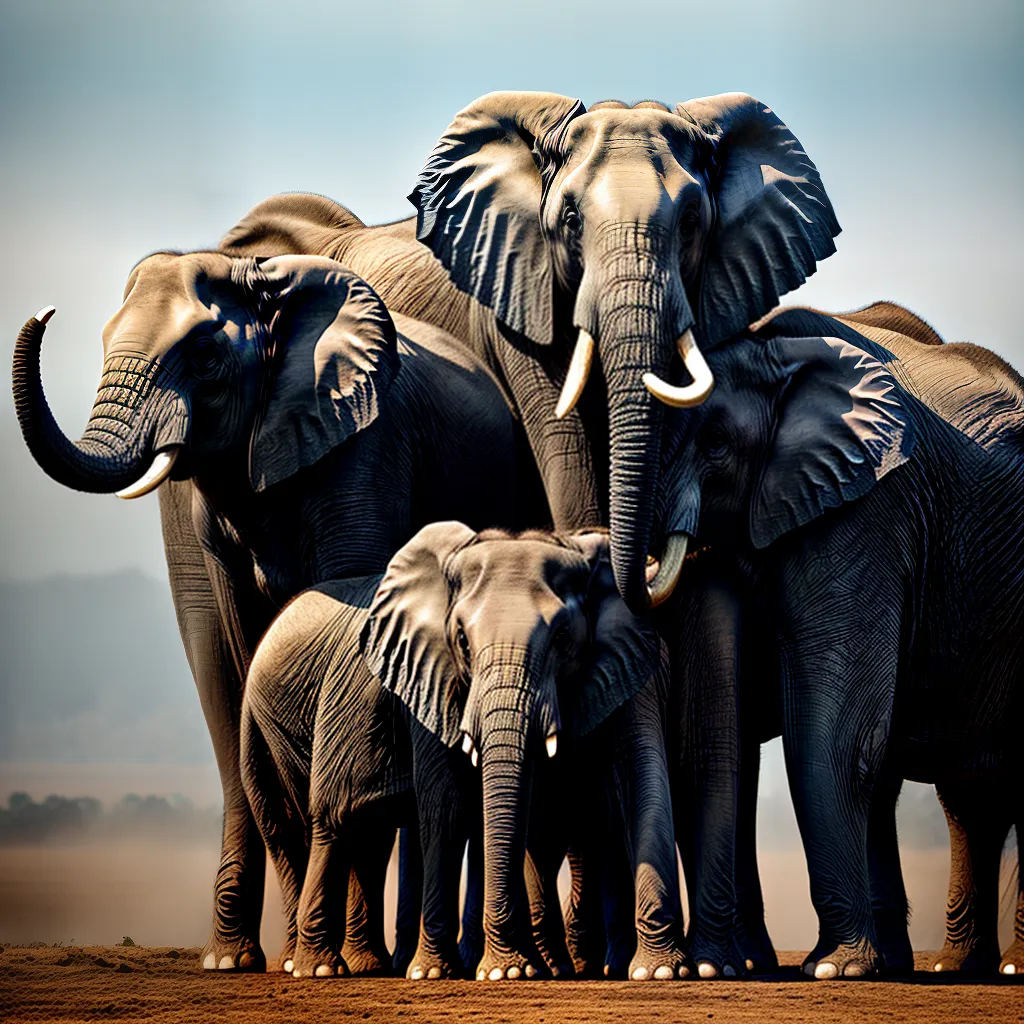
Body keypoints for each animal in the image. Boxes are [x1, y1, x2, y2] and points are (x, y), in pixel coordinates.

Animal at [12, 253, 545, 971]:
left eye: (206, 357)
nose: (42, 314)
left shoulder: (367, 442)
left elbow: (351, 587)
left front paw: (349, 963)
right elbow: (234, 643)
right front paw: (279, 959)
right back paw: (245, 957)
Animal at [242, 522, 686, 982]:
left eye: (563, 639)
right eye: (462, 642)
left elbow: (640, 783)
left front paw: (656, 973)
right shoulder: (427, 674)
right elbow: (448, 803)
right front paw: (449, 974)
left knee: (365, 835)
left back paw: (364, 965)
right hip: (262, 723)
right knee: (304, 825)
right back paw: (314, 968)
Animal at [646, 302, 1024, 979]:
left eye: (715, 445)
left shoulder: (868, 510)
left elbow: (836, 732)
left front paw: (833, 970)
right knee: (966, 794)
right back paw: (950, 968)